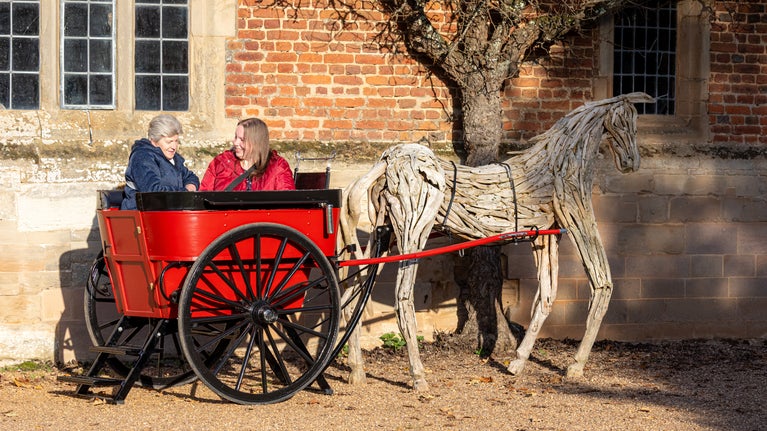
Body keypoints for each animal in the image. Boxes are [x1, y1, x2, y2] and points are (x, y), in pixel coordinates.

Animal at [338, 92, 654, 391]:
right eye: (626, 120)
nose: (631, 163)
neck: (556, 165)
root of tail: (389, 160)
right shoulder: (576, 217)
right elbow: (602, 283)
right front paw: (575, 366)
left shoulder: (545, 236)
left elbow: (546, 296)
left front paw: (518, 362)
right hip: (413, 229)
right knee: (401, 299)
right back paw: (418, 377)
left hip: (386, 234)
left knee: (351, 298)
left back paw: (356, 371)